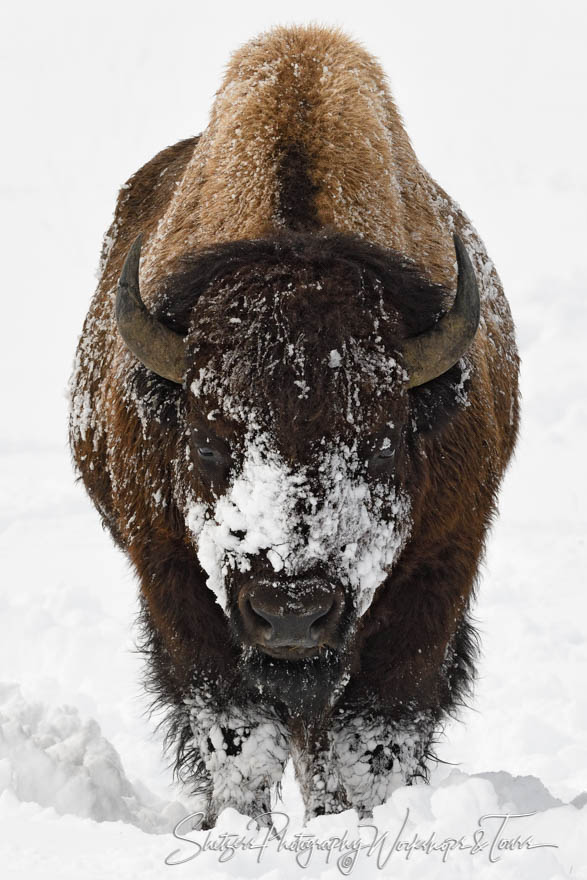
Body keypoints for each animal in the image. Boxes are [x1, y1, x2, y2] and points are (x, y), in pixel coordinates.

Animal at [69, 25, 520, 824]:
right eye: (209, 442)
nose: (290, 614)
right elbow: (234, 732)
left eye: (380, 442)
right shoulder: (174, 578)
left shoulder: (436, 575)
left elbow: (372, 735)